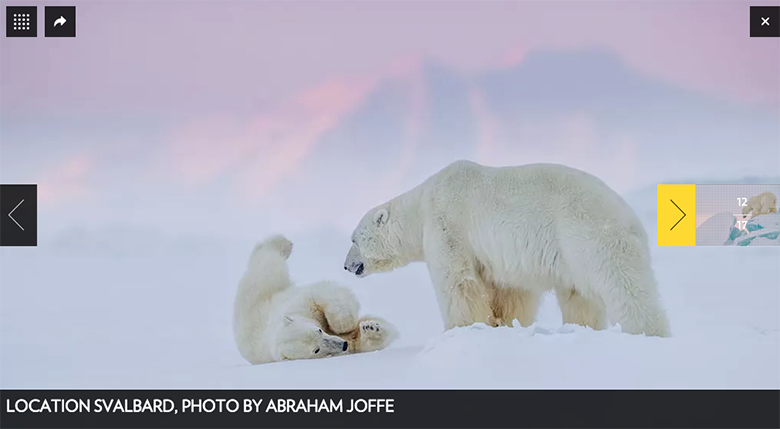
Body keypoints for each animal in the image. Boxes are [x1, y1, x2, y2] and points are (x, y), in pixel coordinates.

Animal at [233, 232, 400, 362]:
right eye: (316, 350)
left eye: (318, 331)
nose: (342, 345)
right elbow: (356, 341)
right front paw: (370, 328)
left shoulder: (301, 305)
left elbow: (324, 295)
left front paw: (350, 324)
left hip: (266, 282)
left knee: (267, 258)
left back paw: (284, 243)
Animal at [346, 159, 672, 336]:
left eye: (353, 239)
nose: (347, 265)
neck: (421, 203)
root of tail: (633, 220)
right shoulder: (502, 256)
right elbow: (509, 291)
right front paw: (502, 324)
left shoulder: (447, 222)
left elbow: (458, 281)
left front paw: (462, 328)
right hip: (574, 252)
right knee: (579, 296)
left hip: (588, 235)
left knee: (623, 287)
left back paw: (648, 331)